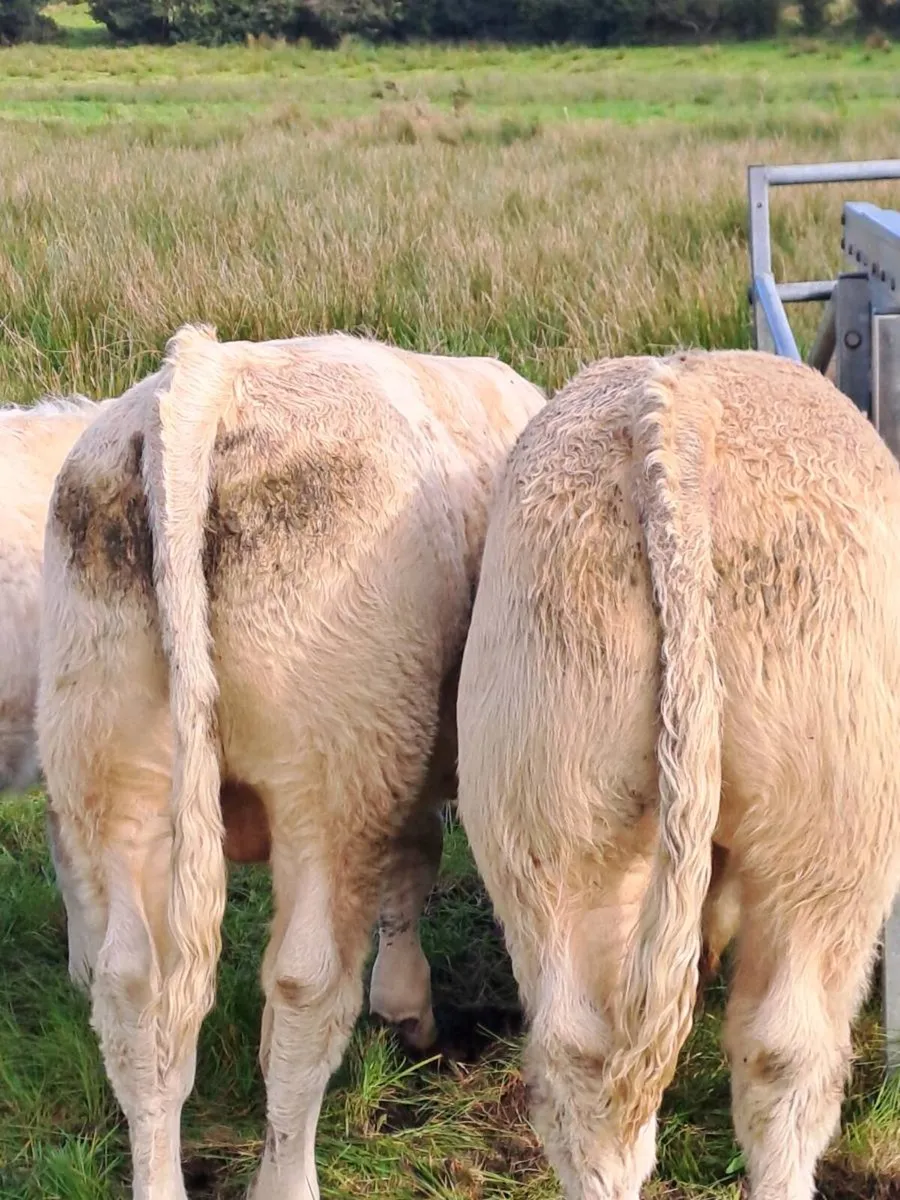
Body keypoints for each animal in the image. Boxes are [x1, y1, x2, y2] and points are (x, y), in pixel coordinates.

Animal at [35, 324, 545, 1200]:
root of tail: (206, 372)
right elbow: (414, 863)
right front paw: (407, 1008)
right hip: (337, 771)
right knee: (307, 981)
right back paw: (288, 1177)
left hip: (111, 766)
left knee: (133, 989)